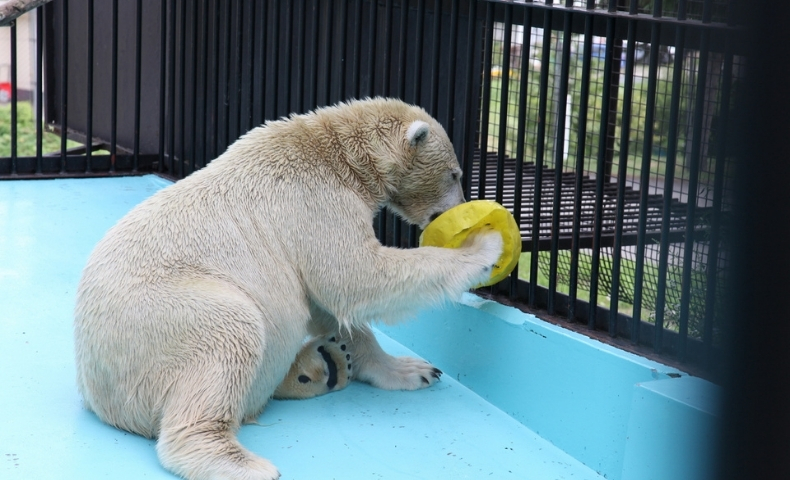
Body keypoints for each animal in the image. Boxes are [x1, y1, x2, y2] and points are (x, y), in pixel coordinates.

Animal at [73, 97, 503, 480]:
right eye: (456, 174)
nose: (458, 208)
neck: (335, 154)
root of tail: (99, 392)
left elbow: (327, 304)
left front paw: (411, 370)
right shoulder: (315, 201)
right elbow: (356, 277)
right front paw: (483, 246)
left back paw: (326, 362)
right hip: (165, 320)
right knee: (228, 337)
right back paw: (243, 464)